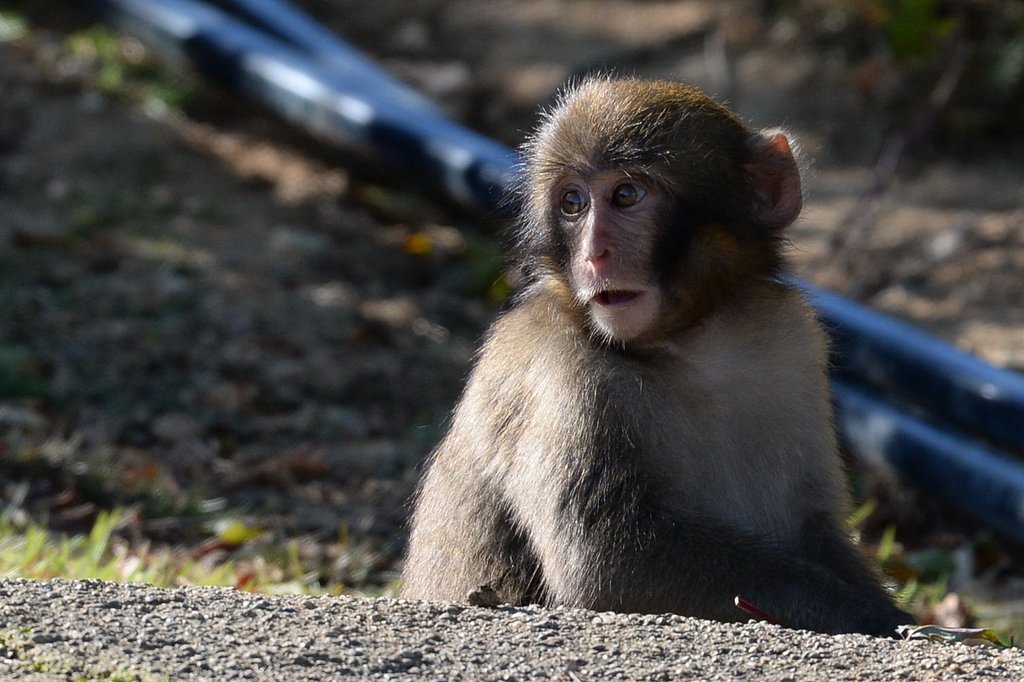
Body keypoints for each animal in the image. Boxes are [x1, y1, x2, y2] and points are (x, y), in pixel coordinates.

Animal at [401, 77, 913, 637]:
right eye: (573, 203)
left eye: (626, 195)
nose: (593, 254)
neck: (690, 345)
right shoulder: (556, 366)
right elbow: (606, 557)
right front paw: (877, 616)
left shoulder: (793, 340)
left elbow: (814, 530)